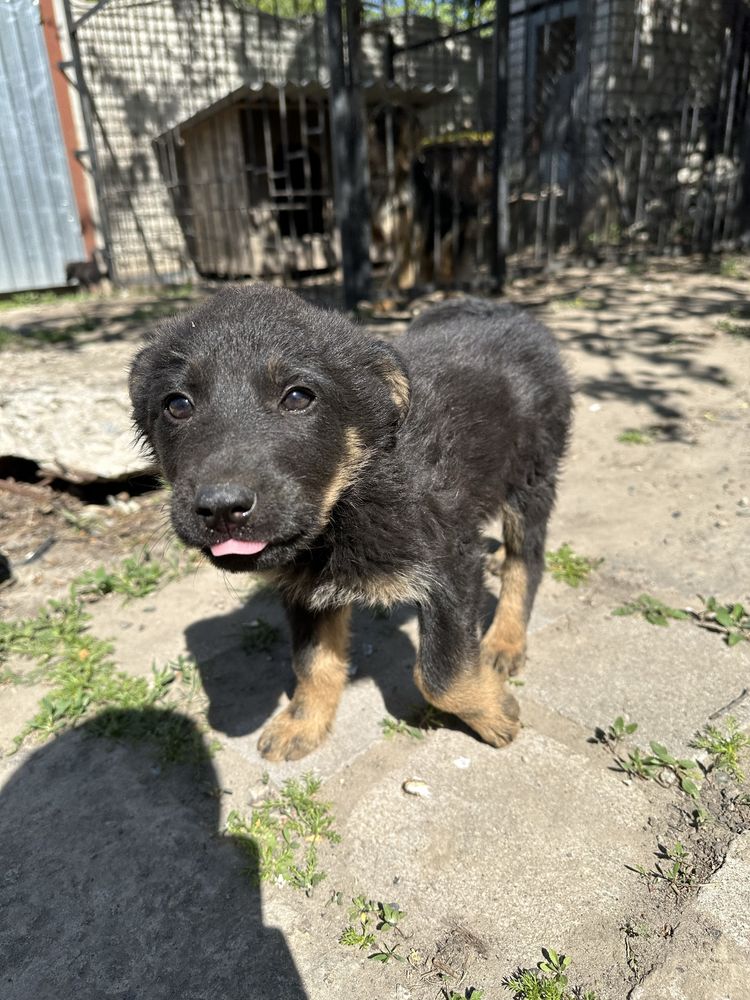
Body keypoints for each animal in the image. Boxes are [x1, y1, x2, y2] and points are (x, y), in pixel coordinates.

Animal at [131, 286, 576, 760]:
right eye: (177, 404)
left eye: (298, 397)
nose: (221, 508)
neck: (349, 498)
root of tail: (511, 313)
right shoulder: (305, 588)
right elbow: (313, 662)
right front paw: (303, 722)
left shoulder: (450, 563)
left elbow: (440, 674)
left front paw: (496, 714)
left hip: (531, 476)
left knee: (526, 561)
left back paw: (505, 640)